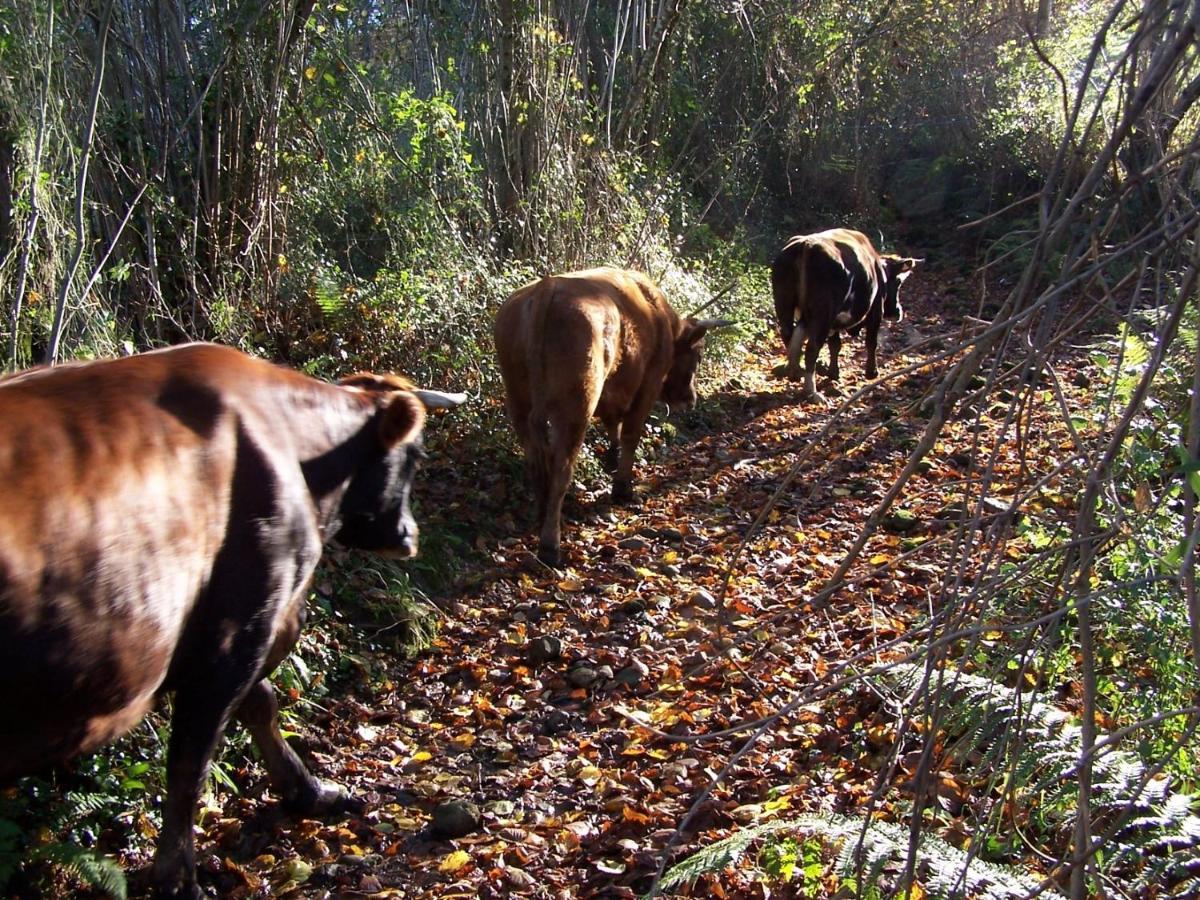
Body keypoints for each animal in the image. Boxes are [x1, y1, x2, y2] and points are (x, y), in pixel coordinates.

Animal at [0, 340, 463, 897]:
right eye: (413, 455)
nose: (409, 534)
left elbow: (258, 705)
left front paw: (310, 791)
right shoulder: (238, 627)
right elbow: (191, 763)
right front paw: (178, 880)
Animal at [489, 264, 729, 566]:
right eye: (698, 355)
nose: (690, 399)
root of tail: (548, 287)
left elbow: (613, 423)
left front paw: (611, 458)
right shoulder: (647, 385)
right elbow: (631, 434)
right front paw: (623, 488)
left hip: (518, 403)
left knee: (535, 460)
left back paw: (542, 516)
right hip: (577, 405)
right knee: (561, 468)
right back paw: (550, 544)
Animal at [768, 229, 916, 405]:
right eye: (898, 282)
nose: (898, 311)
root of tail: (806, 245)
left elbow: (834, 345)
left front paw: (833, 372)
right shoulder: (875, 310)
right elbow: (871, 342)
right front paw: (871, 372)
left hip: (785, 305)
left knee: (789, 336)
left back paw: (795, 373)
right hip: (824, 313)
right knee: (812, 348)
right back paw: (812, 392)